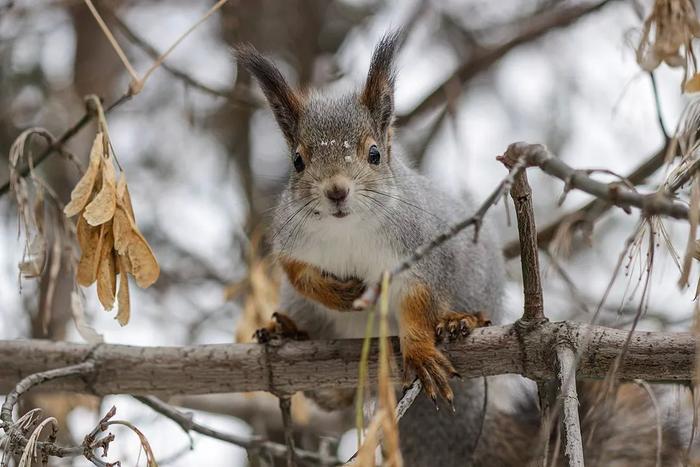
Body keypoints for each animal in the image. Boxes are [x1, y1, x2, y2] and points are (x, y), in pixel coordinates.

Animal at [238, 33, 688, 467]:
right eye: (297, 161)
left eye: (374, 154)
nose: (336, 191)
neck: (346, 228)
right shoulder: (291, 240)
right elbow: (297, 272)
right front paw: (338, 292)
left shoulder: (419, 250)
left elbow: (418, 299)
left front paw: (421, 349)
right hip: (304, 310)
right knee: (337, 389)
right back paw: (288, 333)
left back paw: (460, 321)